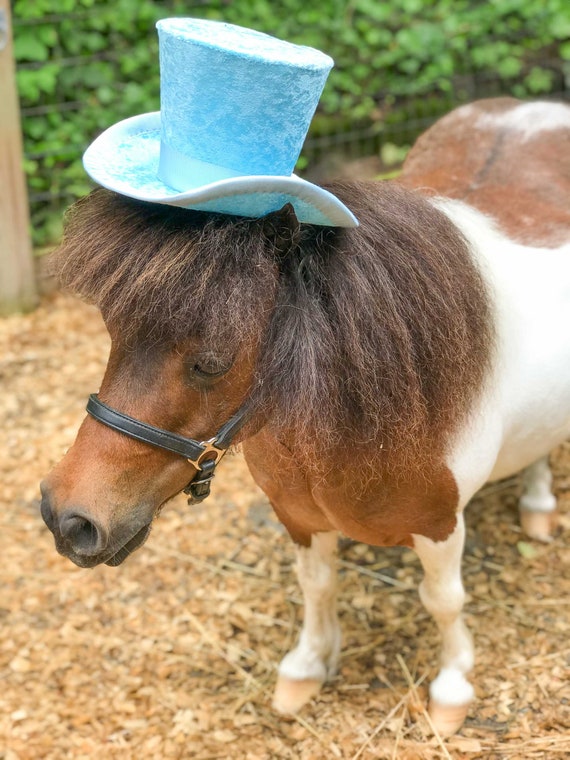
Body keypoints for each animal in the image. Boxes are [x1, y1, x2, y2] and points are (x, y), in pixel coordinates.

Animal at [40, 97, 570, 735]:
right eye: (112, 329)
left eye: (212, 361)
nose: (66, 517)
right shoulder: (296, 516)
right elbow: (317, 585)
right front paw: (308, 665)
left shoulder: (440, 526)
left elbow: (444, 601)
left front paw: (452, 687)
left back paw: (538, 504)